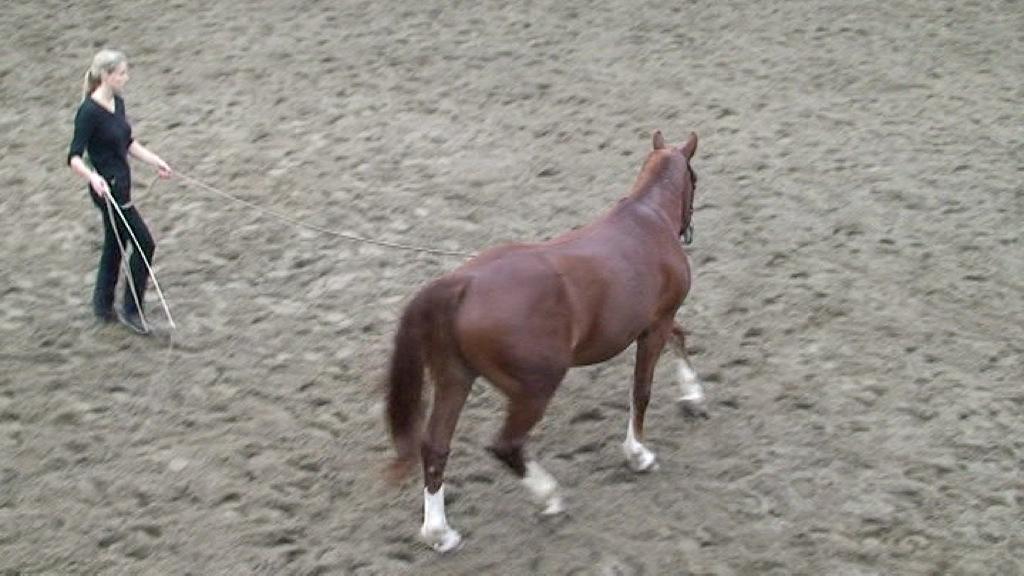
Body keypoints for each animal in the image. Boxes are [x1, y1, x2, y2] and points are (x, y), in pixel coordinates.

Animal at [385, 130, 704, 553]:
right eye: (695, 179)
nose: (689, 229)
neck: (647, 220)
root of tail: (461, 284)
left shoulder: (659, 322)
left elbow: (680, 340)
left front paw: (694, 395)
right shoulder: (655, 325)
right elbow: (642, 390)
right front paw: (638, 454)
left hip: (456, 378)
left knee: (435, 447)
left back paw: (440, 532)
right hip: (536, 388)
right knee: (506, 445)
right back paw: (549, 496)